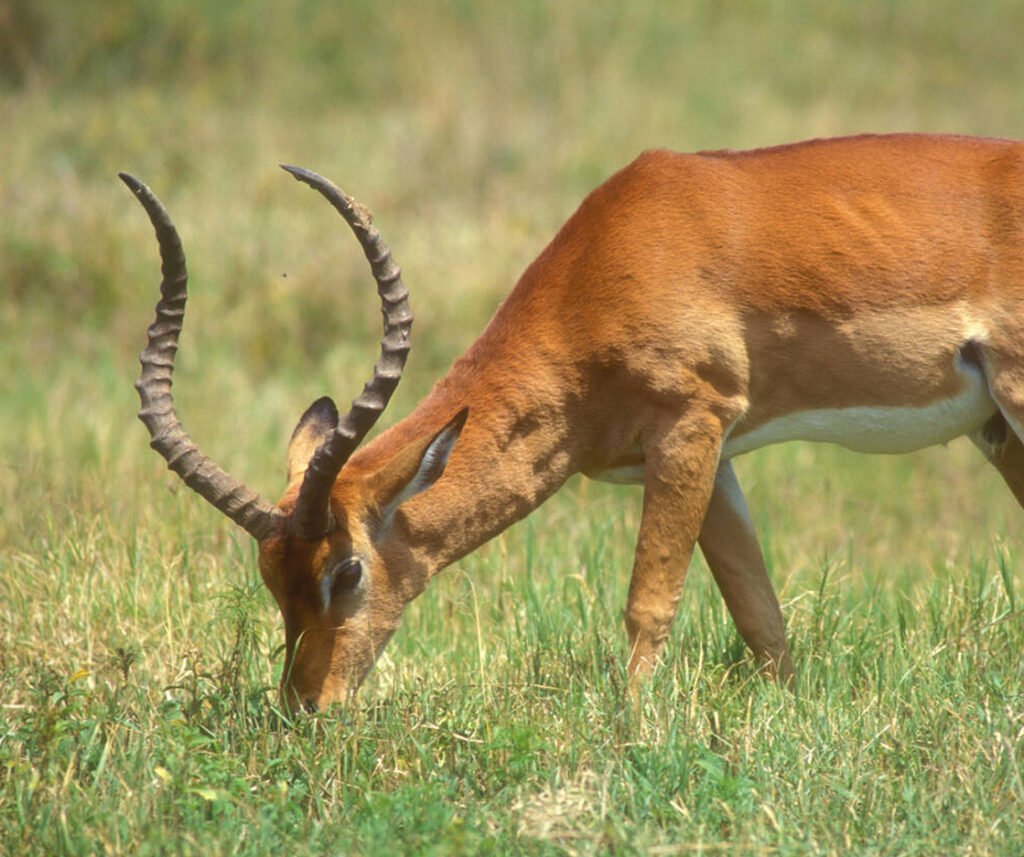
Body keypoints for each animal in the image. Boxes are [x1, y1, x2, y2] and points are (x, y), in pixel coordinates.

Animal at [124, 133, 1024, 712]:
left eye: (344, 571)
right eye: (270, 578)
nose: (307, 707)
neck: (602, 270)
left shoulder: (690, 423)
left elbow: (648, 602)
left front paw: (630, 734)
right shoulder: (715, 452)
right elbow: (759, 614)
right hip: (996, 430)